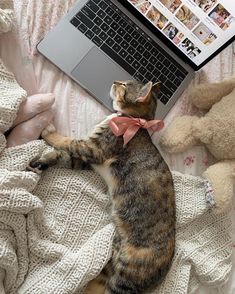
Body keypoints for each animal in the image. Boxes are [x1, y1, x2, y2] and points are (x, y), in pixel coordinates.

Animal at [29, 80, 174, 294]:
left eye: (125, 85)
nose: (115, 81)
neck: (132, 120)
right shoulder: (87, 160)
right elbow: (64, 156)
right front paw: (43, 161)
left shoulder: (94, 149)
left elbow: (67, 141)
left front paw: (48, 132)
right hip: (111, 263)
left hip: (126, 275)